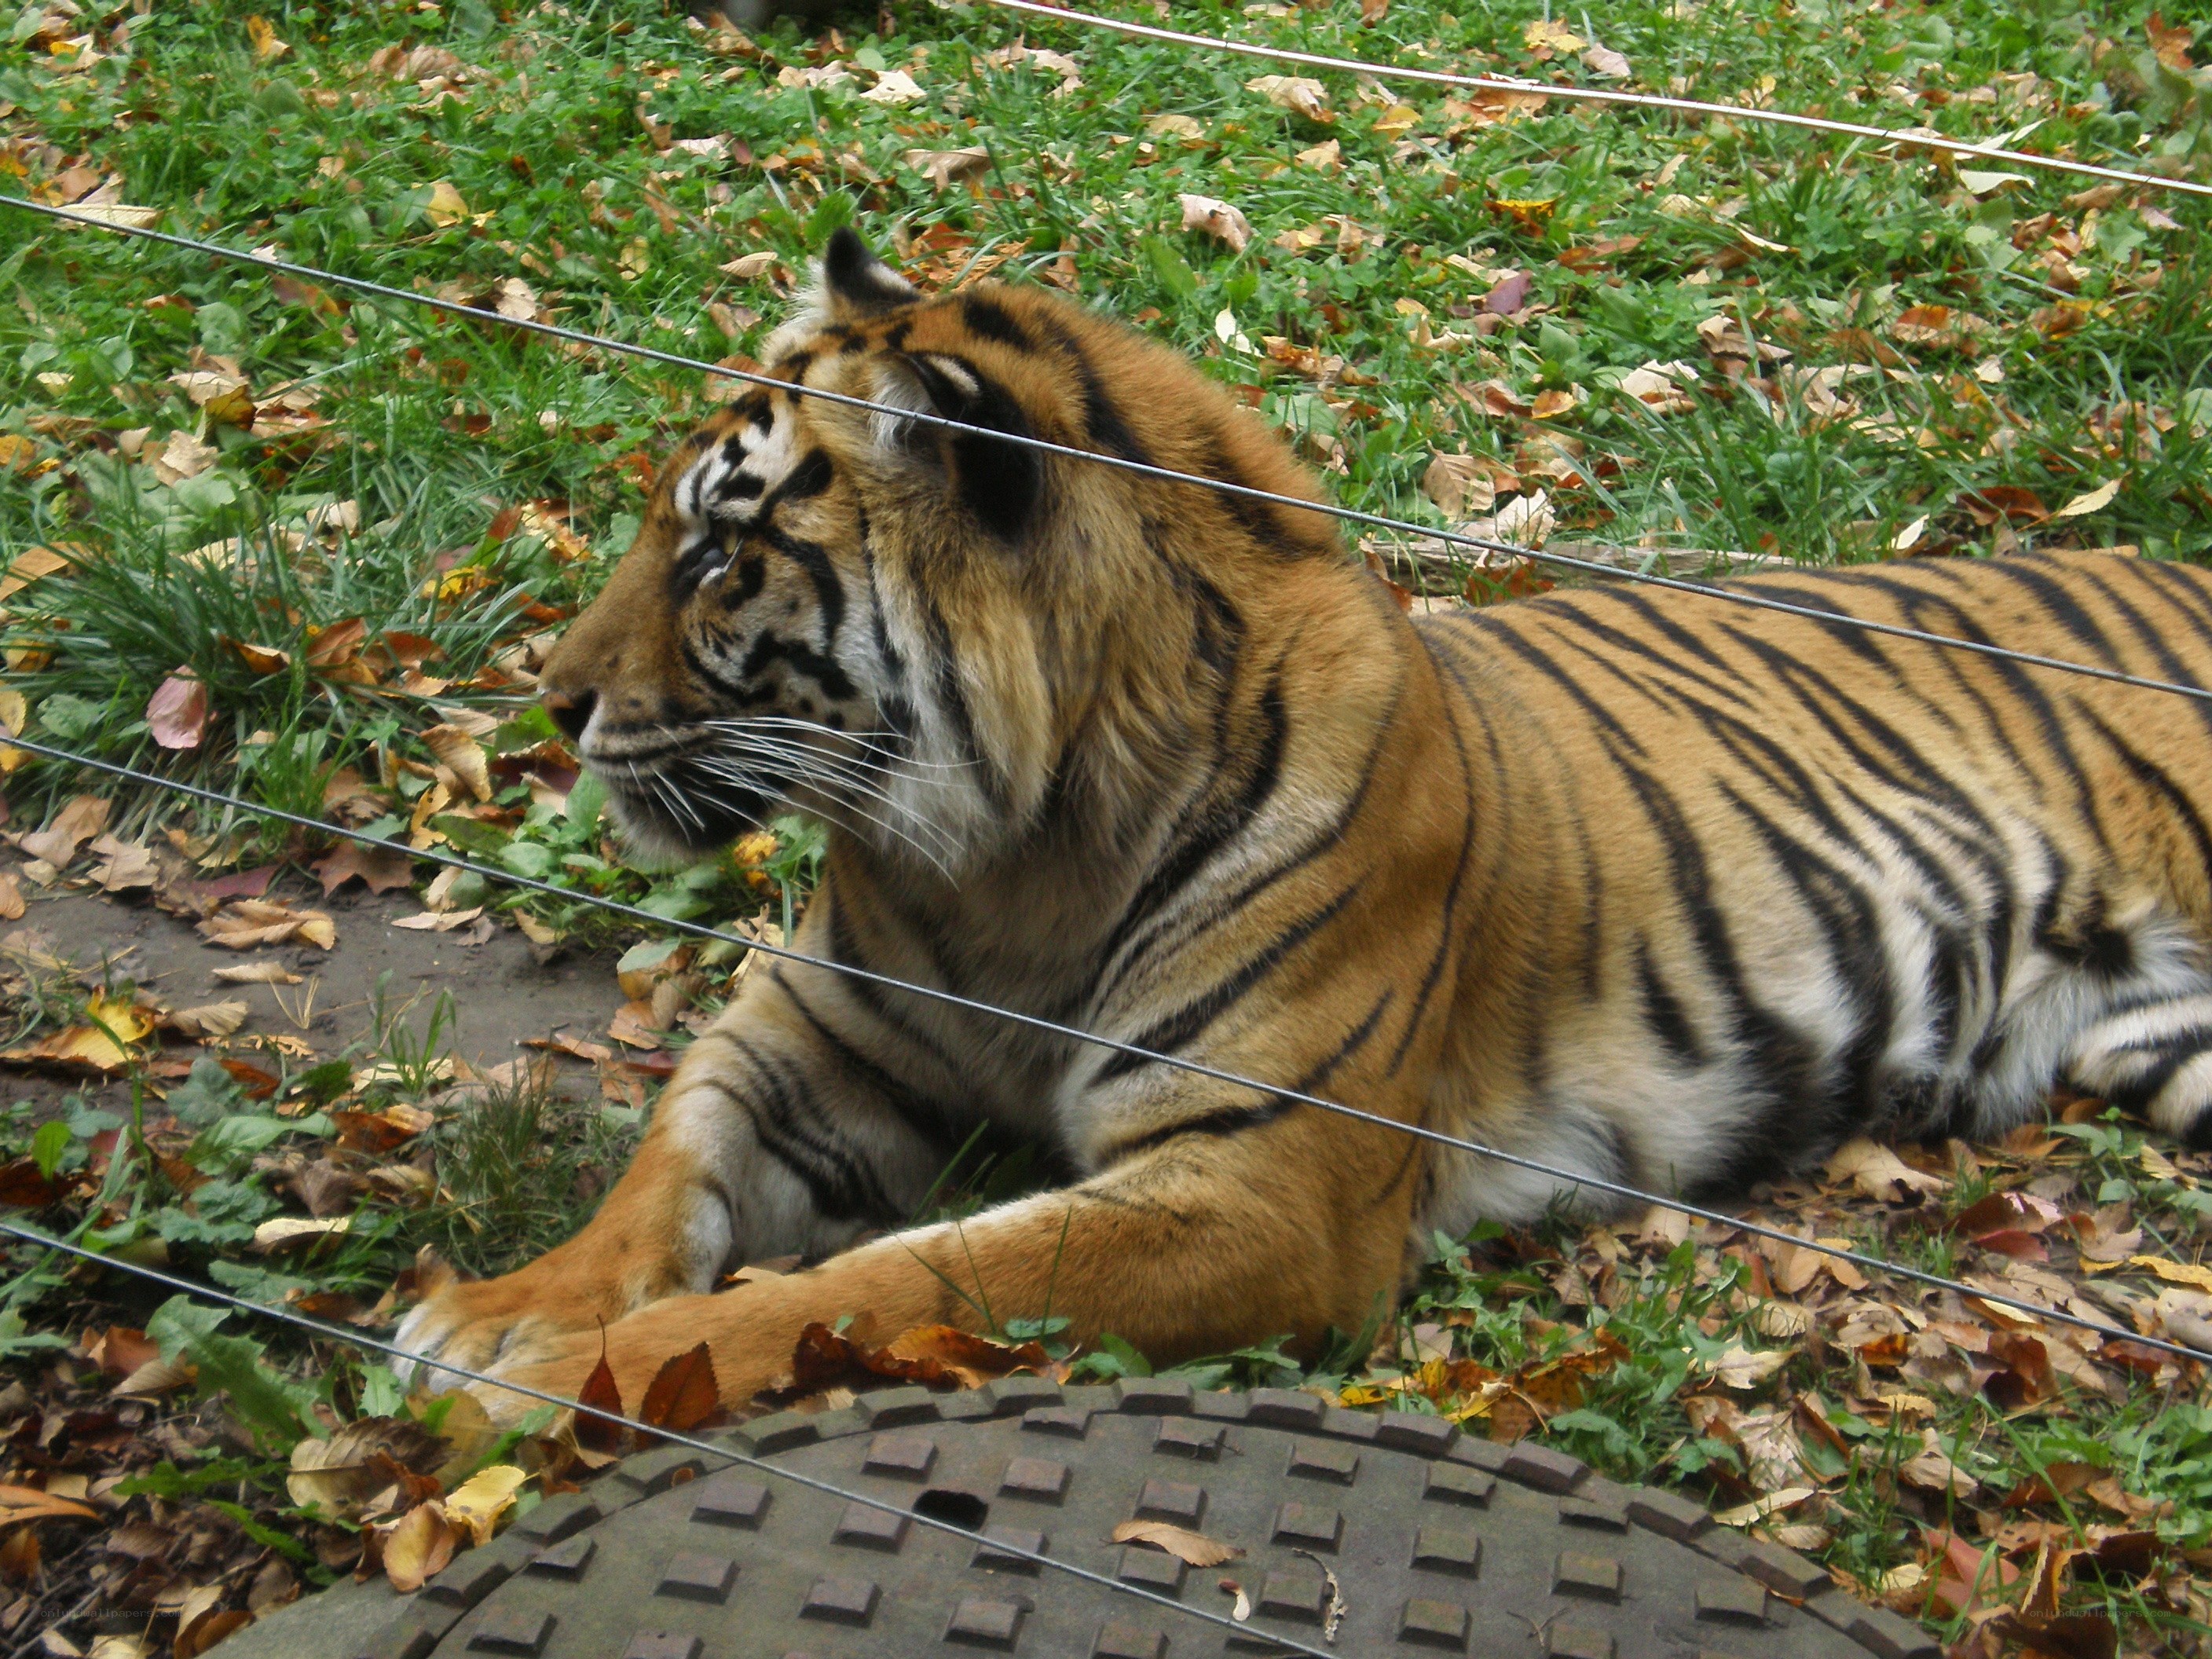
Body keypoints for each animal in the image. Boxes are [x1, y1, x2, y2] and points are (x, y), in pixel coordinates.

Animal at [396, 227, 2212, 1419]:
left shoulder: (1250, 1183)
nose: (550, 701)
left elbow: (883, 1282)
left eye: (716, 554)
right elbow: (664, 1169)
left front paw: (549, 1376)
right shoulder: (805, 1044)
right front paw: (499, 1316)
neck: (1004, 858)